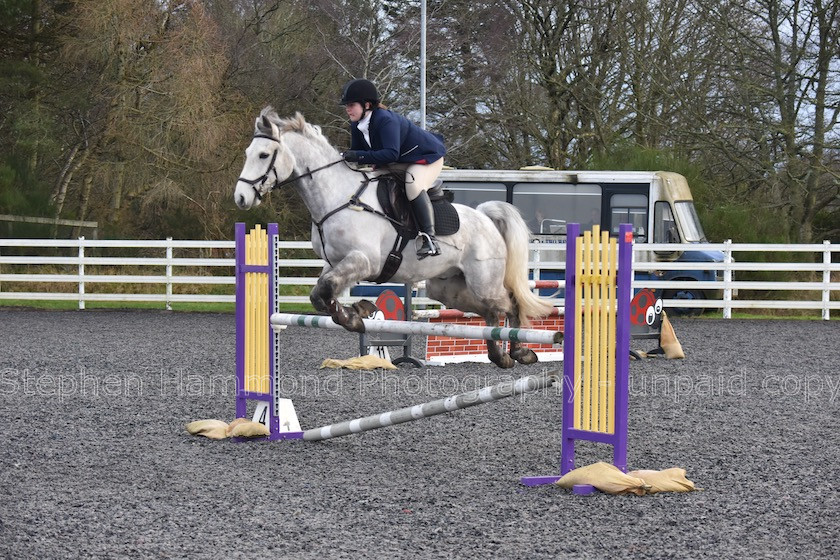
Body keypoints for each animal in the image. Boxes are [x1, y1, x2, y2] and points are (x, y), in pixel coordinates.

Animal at [233, 107, 556, 370]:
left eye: (263, 155)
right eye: (247, 153)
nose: (241, 198)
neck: (337, 197)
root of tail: (486, 217)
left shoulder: (364, 261)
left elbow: (325, 289)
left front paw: (353, 316)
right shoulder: (335, 262)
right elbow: (320, 294)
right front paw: (354, 315)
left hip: (483, 281)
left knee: (509, 304)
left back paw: (518, 353)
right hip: (448, 289)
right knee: (490, 312)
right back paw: (502, 355)